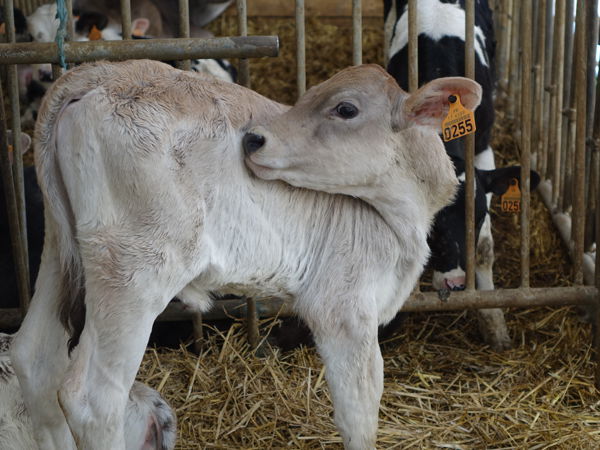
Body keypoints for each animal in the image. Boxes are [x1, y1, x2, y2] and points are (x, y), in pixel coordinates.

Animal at [386, 0, 540, 350]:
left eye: (479, 215)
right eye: (433, 223)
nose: (456, 283)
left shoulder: (483, 151)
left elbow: (484, 249)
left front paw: (494, 322)